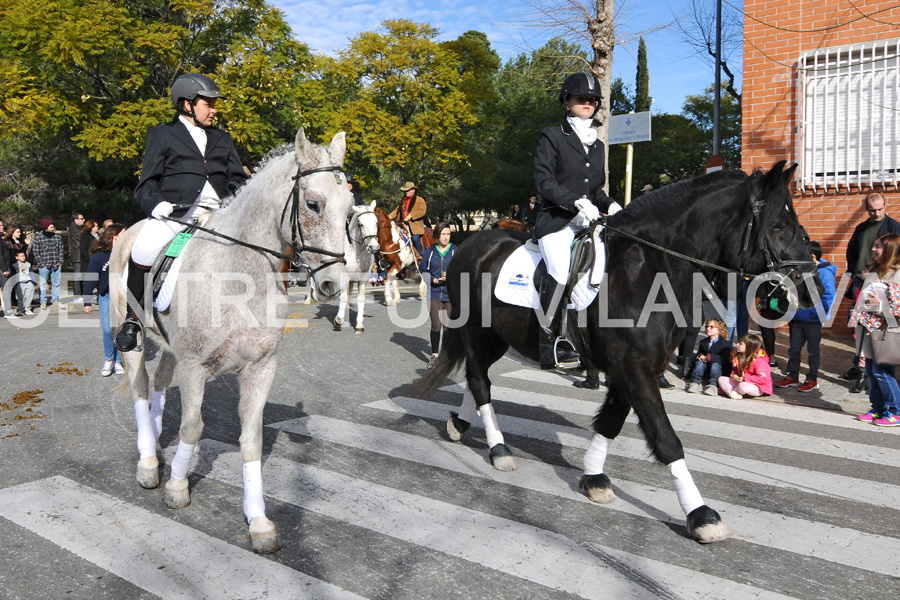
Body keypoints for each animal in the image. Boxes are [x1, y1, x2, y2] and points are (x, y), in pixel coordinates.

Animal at [110, 130, 354, 552]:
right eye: (313, 204)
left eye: (351, 210)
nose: (332, 285)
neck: (240, 274)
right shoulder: (195, 366)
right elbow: (193, 427)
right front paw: (177, 487)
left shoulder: (261, 366)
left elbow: (251, 441)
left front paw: (258, 521)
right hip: (134, 340)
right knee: (141, 388)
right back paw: (147, 463)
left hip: (170, 347)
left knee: (159, 384)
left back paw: (155, 445)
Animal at [334, 200, 384, 332]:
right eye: (360, 224)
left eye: (376, 222)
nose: (374, 247)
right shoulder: (343, 277)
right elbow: (343, 297)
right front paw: (338, 320)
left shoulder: (364, 278)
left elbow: (360, 299)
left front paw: (359, 324)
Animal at [412, 163, 828, 544]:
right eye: (778, 226)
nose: (811, 289)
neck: (649, 268)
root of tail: (469, 244)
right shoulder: (634, 367)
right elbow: (666, 438)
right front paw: (701, 514)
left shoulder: (633, 367)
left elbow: (611, 421)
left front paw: (595, 478)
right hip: (475, 332)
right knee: (481, 383)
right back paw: (498, 449)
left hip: (498, 337)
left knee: (475, 379)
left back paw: (460, 424)